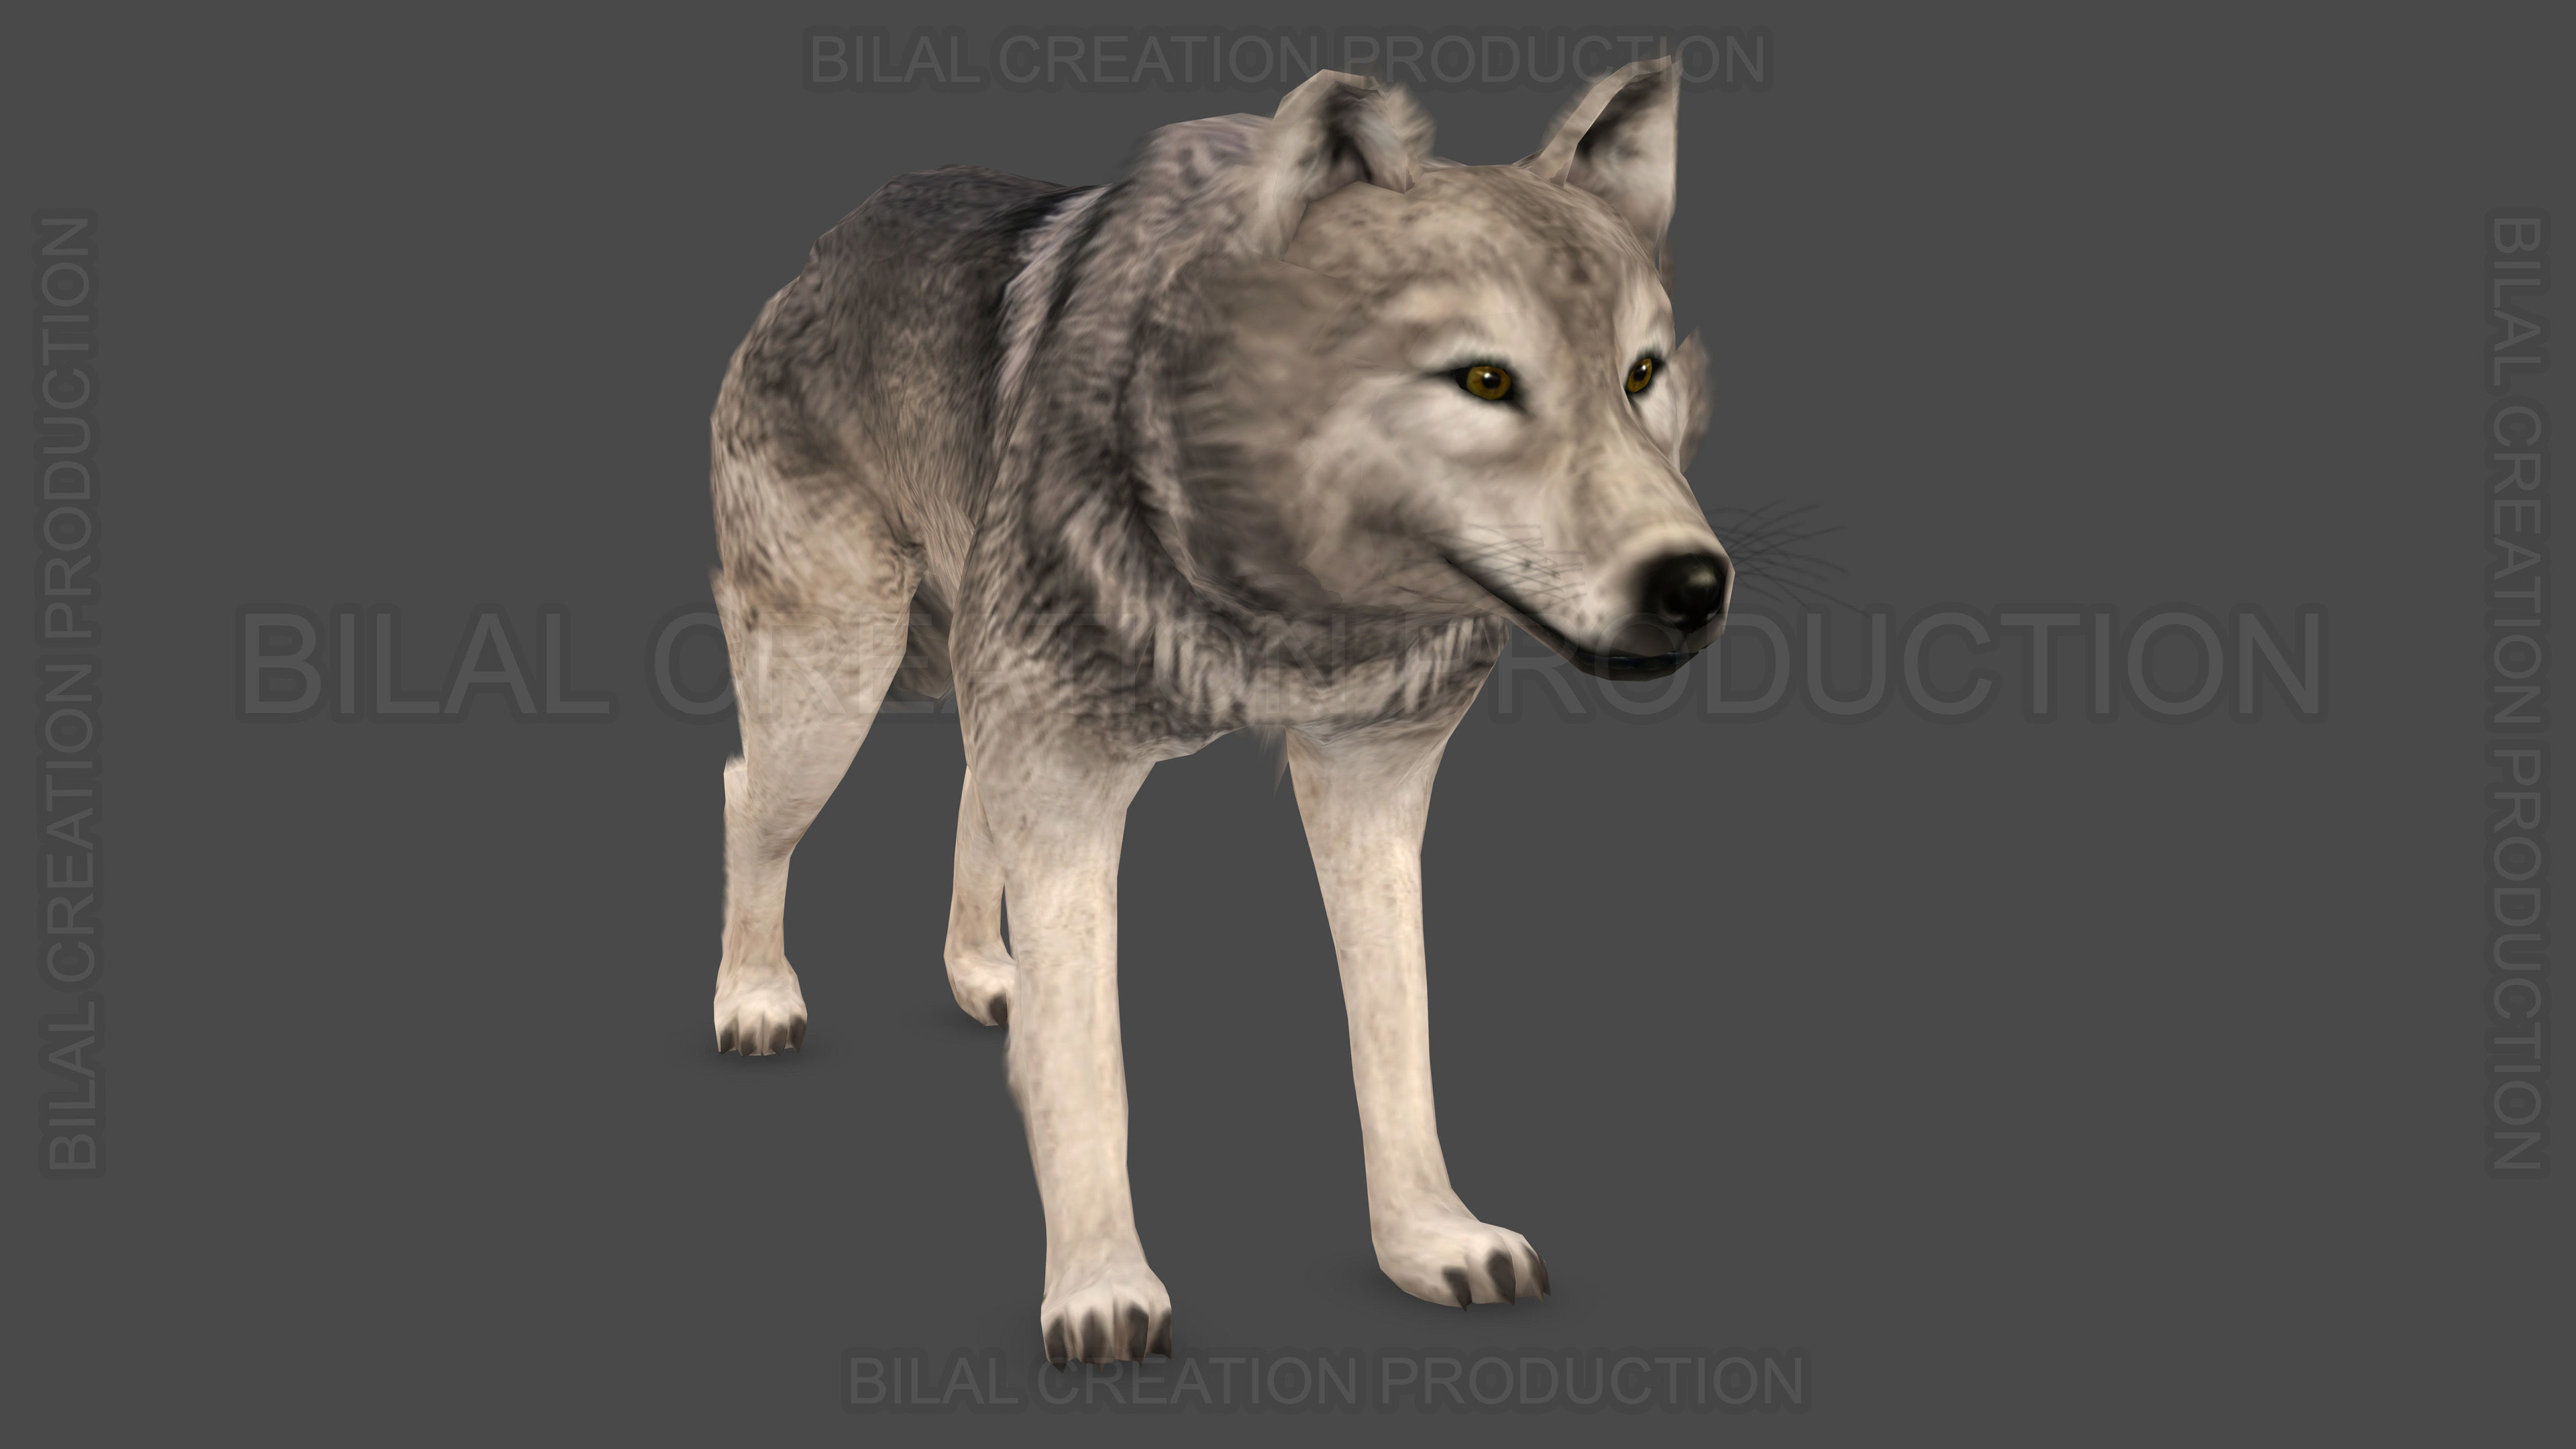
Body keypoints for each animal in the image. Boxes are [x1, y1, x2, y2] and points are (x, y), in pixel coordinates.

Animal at [704, 57, 1732, 1364]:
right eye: (1487, 380)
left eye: (1642, 375)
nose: (1695, 585)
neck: (1283, 613)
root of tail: (828, 244)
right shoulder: (1071, 777)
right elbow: (1090, 1068)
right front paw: (1099, 1288)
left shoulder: (1369, 788)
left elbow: (1399, 1039)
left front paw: (1431, 1239)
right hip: (833, 684)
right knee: (750, 796)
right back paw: (754, 996)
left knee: (966, 800)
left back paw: (987, 971)